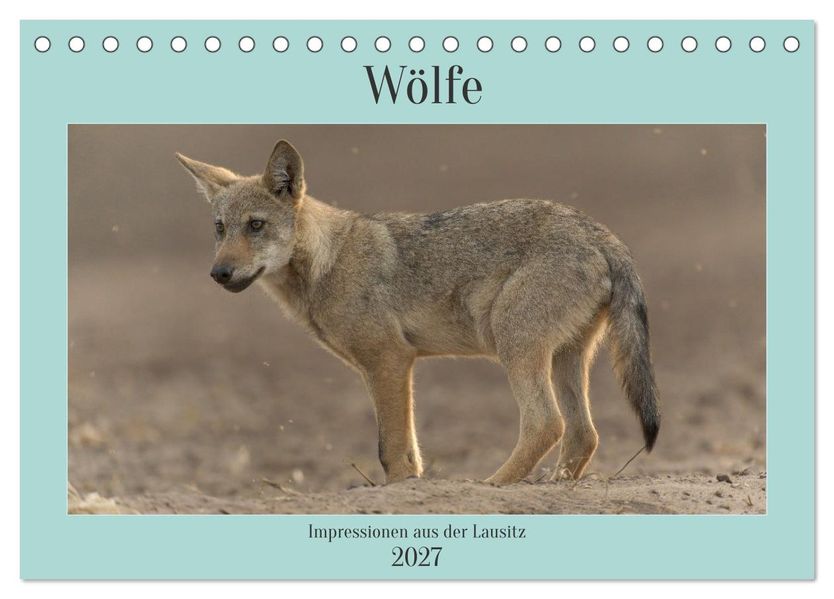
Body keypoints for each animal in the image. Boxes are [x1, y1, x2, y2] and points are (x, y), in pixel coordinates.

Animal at [176, 140, 660, 485]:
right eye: (220, 229)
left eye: (255, 225)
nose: (219, 273)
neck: (329, 261)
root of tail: (601, 233)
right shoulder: (387, 367)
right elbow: (408, 451)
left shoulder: (390, 361)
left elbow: (390, 449)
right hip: (565, 358)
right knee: (583, 434)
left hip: (515, 345)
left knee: (547, 424)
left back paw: (490, 486)